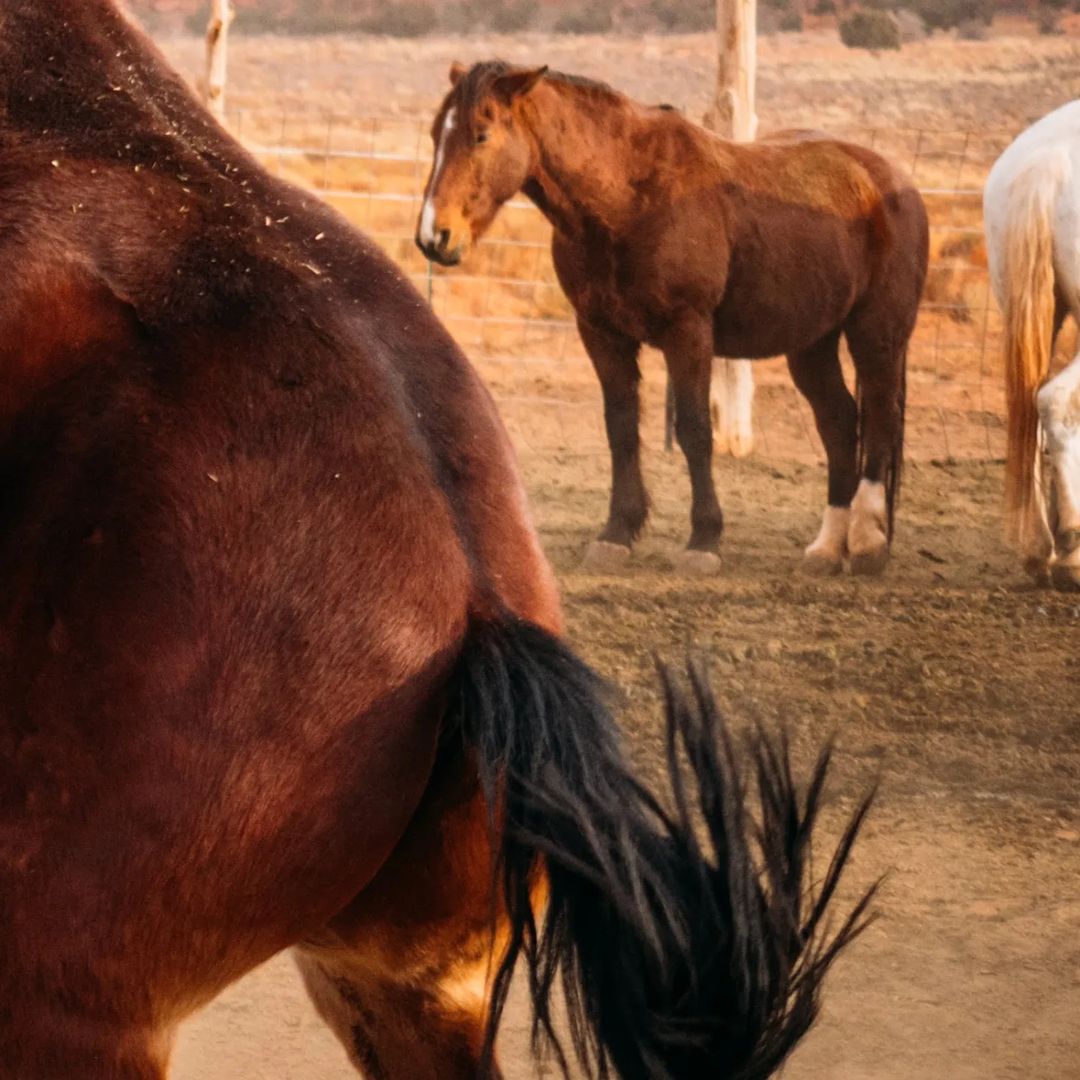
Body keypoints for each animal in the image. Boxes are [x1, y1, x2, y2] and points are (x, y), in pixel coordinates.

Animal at [416, 61, 929, 577]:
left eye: (481, 134)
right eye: (436, 133)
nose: (434, 236)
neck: (627, 197)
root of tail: (891, 179)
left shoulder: (689, 333)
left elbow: (695, 430)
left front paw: (704, 539)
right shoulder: (601, 334)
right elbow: (621, 427)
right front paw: (616, 533)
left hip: (877, 336)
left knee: (879, 419)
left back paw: (866, 543)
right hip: (811, 344)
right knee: (839, 423)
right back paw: (826, 549)